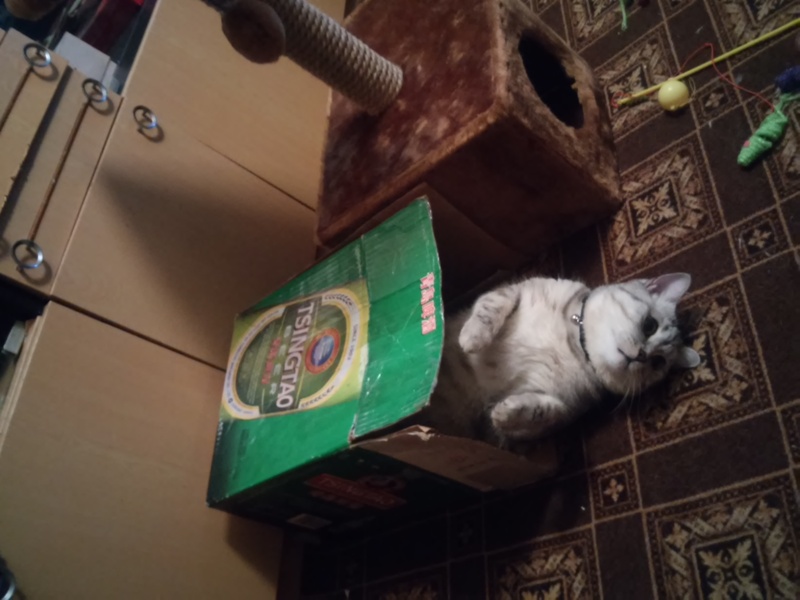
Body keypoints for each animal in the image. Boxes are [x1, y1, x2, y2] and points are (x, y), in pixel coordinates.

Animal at [423, 273, 701, 447]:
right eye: (649, 326)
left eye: (658, 363)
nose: (642, 356)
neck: (574, 346)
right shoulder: (515, 289)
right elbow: (492, 303)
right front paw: (472, 338)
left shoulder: (559, 409)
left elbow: (548, 413)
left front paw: (506, 411)